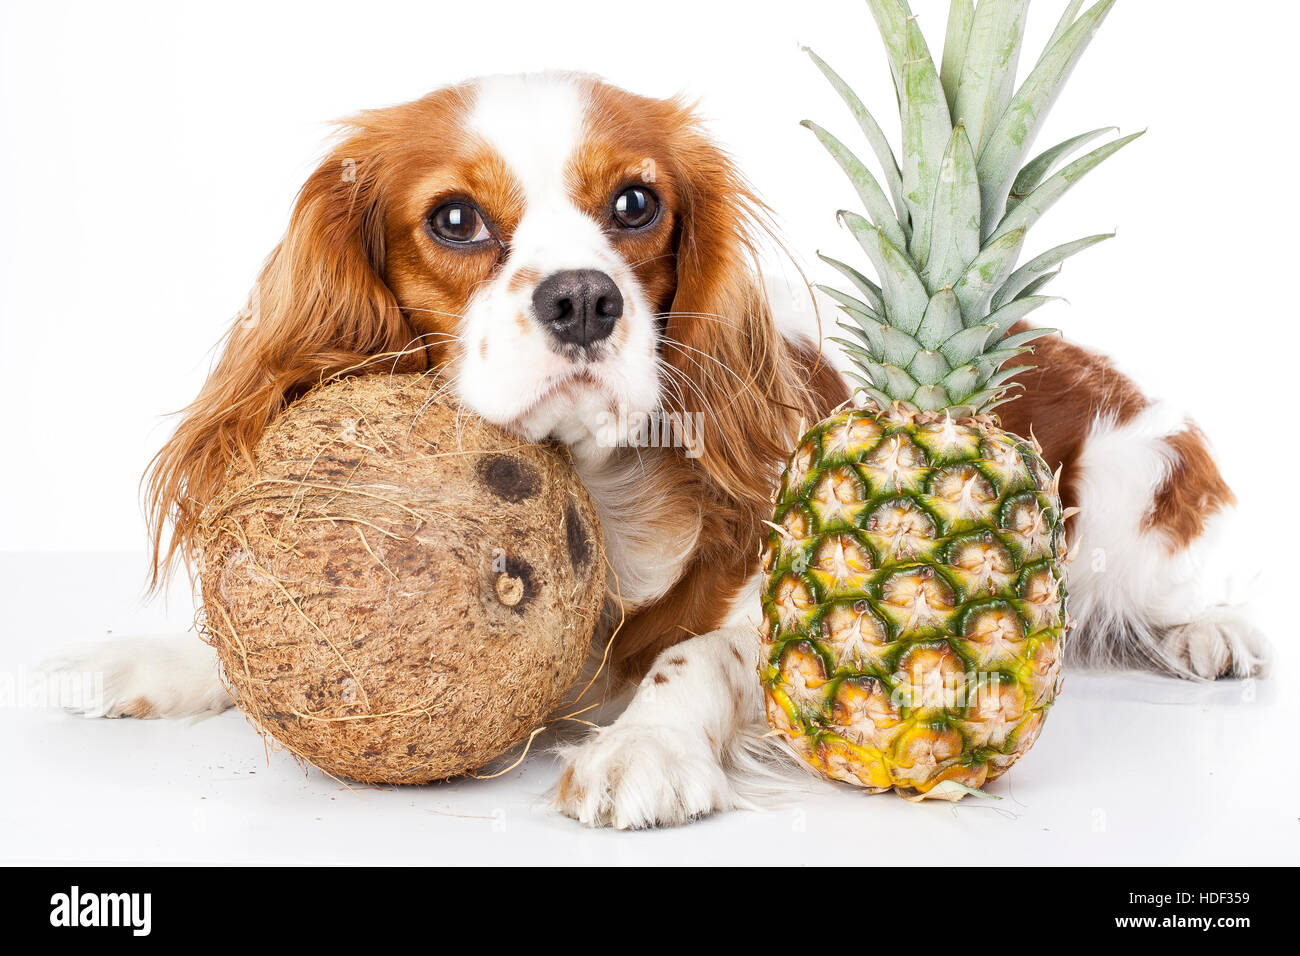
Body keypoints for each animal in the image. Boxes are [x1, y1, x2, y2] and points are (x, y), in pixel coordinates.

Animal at [53, 70, 1268, 827]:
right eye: (454, 220)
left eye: (635, 203)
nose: (584, 298)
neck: (589, 481)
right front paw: (146, 660)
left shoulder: (767, 597)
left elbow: (698, 657)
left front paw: (645, 750)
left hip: (1135, 473)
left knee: (1164, 586)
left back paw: (1208, 633)